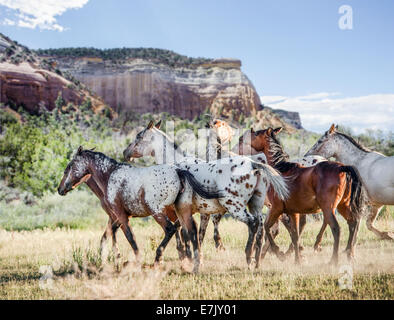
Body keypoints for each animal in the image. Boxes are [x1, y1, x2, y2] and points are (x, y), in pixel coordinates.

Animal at [57, 146, 222, 272]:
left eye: (69, 167)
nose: (60, 189)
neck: (110, 176)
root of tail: (178, 171)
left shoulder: (120, 215)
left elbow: (130, 237)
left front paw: (134, 261)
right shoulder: (120, 217)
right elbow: (110, 234)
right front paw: (115, 258)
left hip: (158, 213)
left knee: (171, 230)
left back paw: (159, 259)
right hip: (181, 211)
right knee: (191, 230)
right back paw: (194, 263)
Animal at [121, 120, 288, 268]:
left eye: (139, 137)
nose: (125, 152)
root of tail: (254, 165)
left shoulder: (179, 210)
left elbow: (184, 233)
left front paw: (187, 258)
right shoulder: (198, 212)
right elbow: (195, 233)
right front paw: (194, 258)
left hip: (236, 207)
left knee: (254, 224)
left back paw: (249, 256)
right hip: (256, 205)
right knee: (261, 228)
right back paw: (258, 260)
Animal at [240, 127, 366, 264]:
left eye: (256, 133)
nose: (241, 137)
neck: (280, 169)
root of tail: (342, 168)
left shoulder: (276, 208)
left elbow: (267, 228)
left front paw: (279, 253)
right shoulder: (293, 212)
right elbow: (295, 235)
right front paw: (297, 260)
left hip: (329, 208)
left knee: (336, 229)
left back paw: (333, 260)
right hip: (343, 206)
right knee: (353, 223)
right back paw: (349, 255)